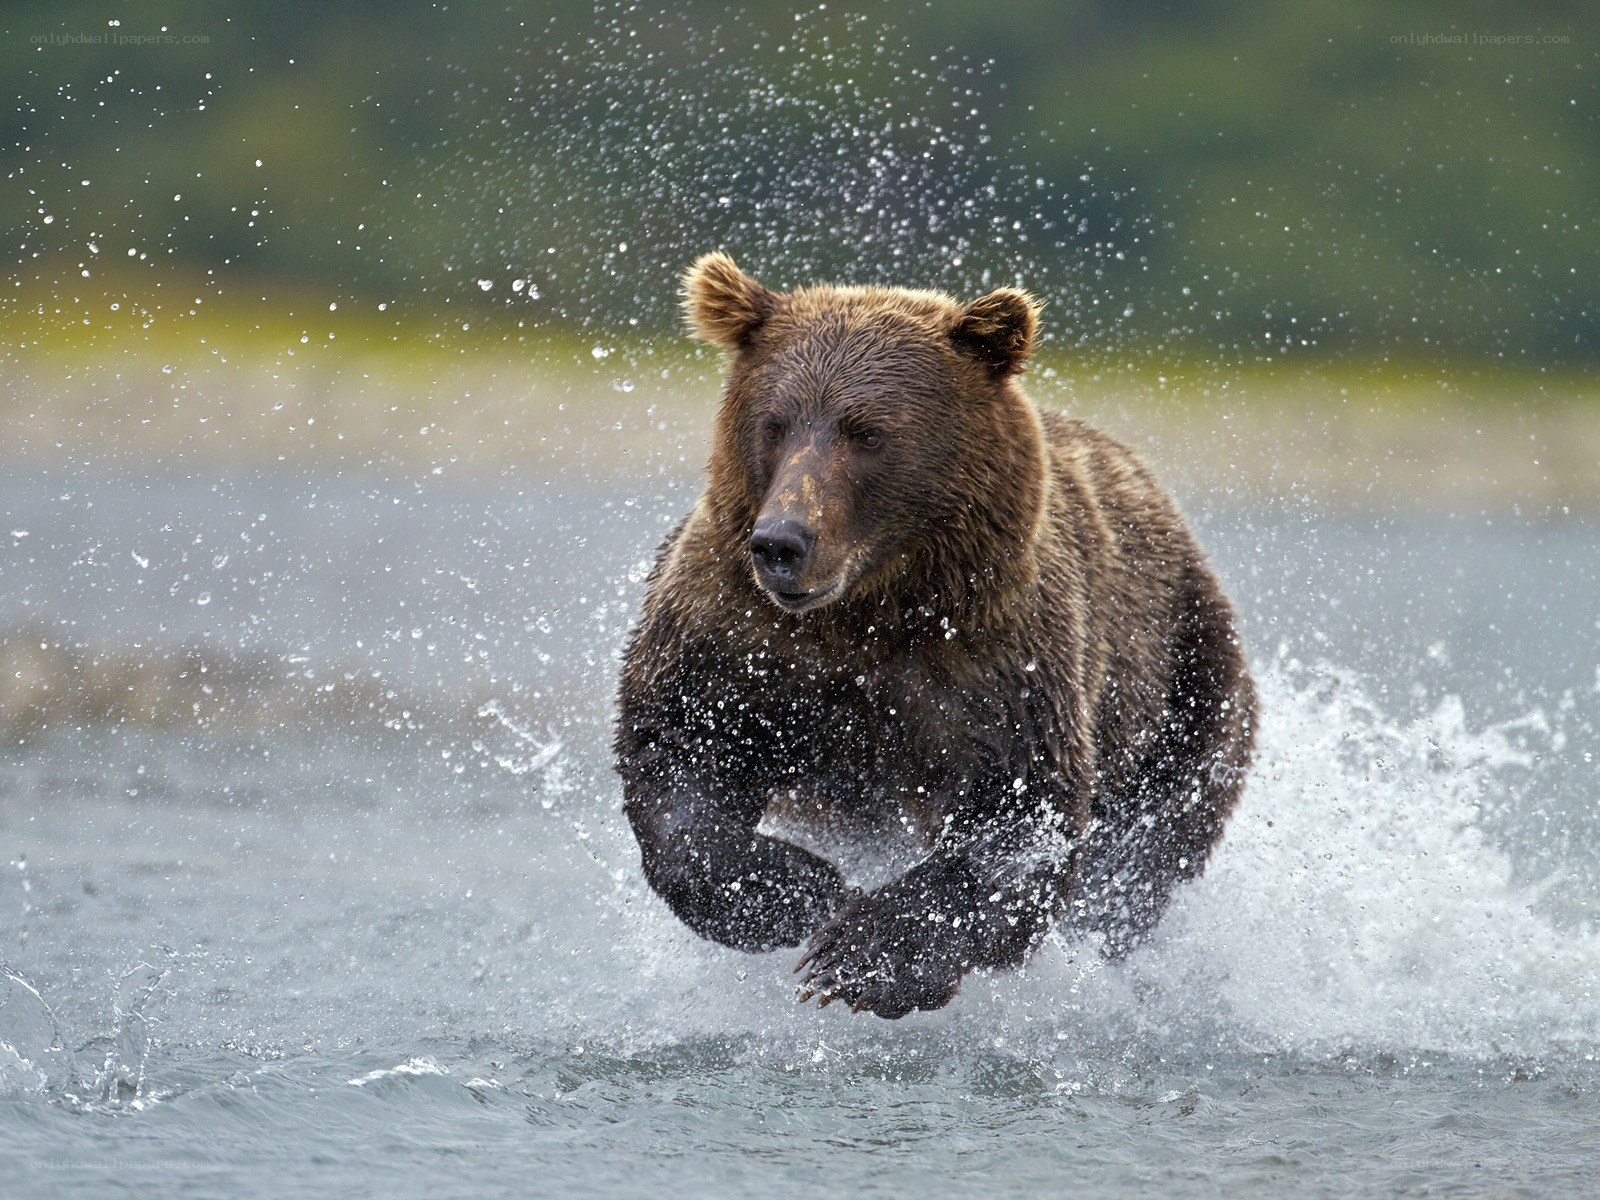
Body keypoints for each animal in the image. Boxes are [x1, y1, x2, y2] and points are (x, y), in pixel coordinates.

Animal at [614, 252, 1256, 1018]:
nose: (781, 543)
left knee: (1143, 853)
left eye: (866, 431)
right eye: (775, 422)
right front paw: (794, 890)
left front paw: (860, 959)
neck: (872, 608)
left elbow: (1018, 817)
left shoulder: (1000, 662)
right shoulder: (738, 635)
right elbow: (679, 748)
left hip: (1187, 680)